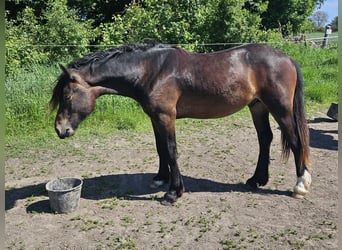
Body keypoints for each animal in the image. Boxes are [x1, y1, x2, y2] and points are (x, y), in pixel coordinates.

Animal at [49, 43, 312, 205]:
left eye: (67, 96)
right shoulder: (155, 117)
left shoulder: (166, 116)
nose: (60, 130)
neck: (150, 70)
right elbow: (160, 148)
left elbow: (171, 149)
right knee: (265, 139)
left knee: (296, 141)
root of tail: (287, 58)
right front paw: (160, 178)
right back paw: (256, 180)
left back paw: (300, 186)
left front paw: (173, 193)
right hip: (258, 106)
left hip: (280, 109)